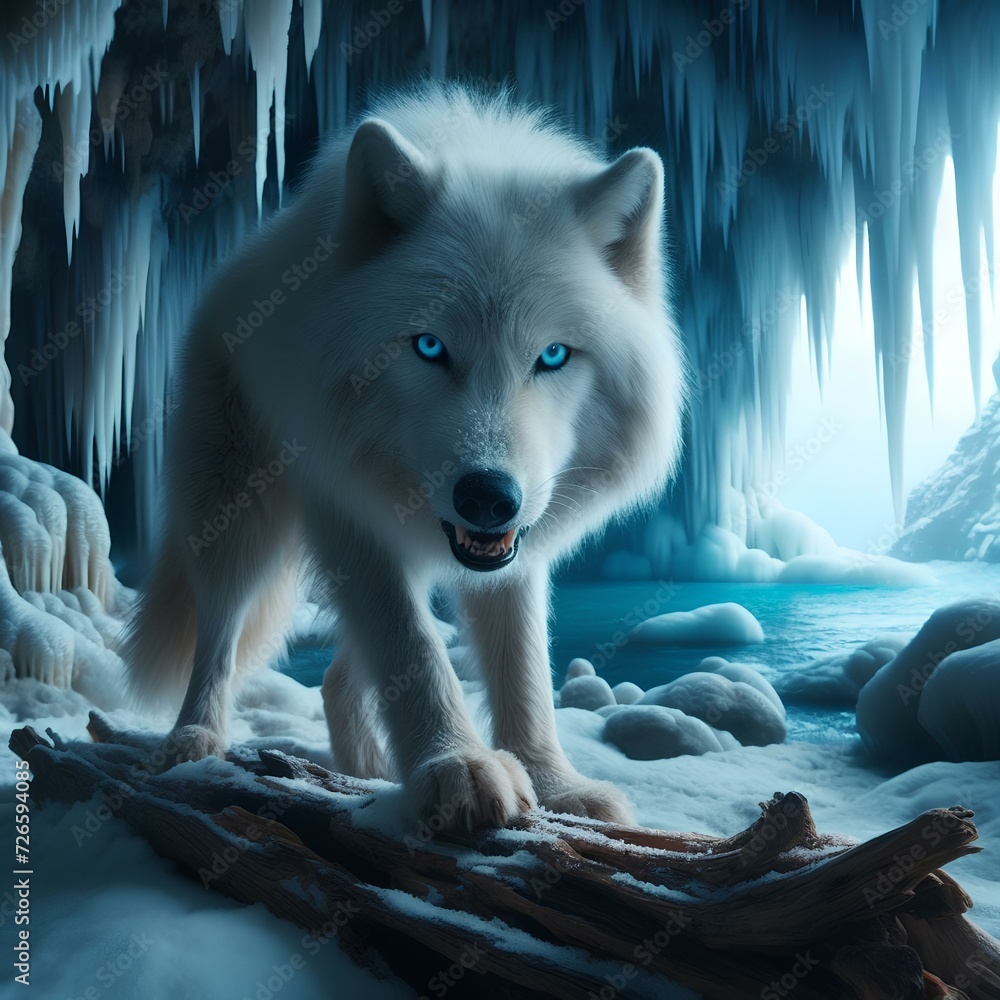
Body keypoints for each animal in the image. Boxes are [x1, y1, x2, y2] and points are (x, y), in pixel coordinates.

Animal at [122, 83, 684, 829]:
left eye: (553, 355)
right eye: (428, 346)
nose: (487, 497)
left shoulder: (515, 550)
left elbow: (523, 669)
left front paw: (554, 785)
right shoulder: (344, 510)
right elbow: (411, 646)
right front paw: (458, 768)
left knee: (336, 678)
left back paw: (365, 774)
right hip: (233, 514)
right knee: (221, 631)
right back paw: (195, 741)